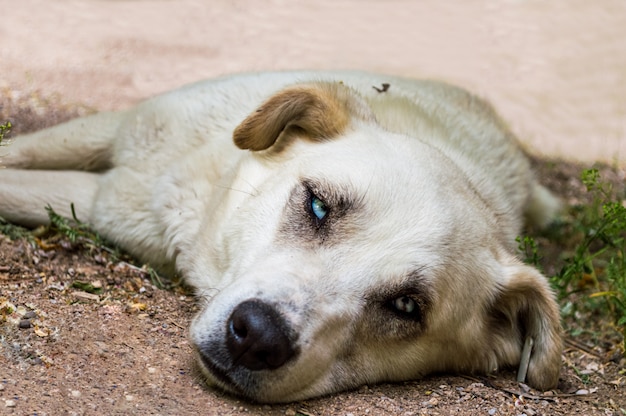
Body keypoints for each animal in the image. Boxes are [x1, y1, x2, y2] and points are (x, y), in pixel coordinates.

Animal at [0, 71, 560, 404]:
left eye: (405, 306)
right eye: (317, 205)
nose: (258, 338)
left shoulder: (103, 199)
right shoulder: (118, 131)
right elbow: (16, 154)